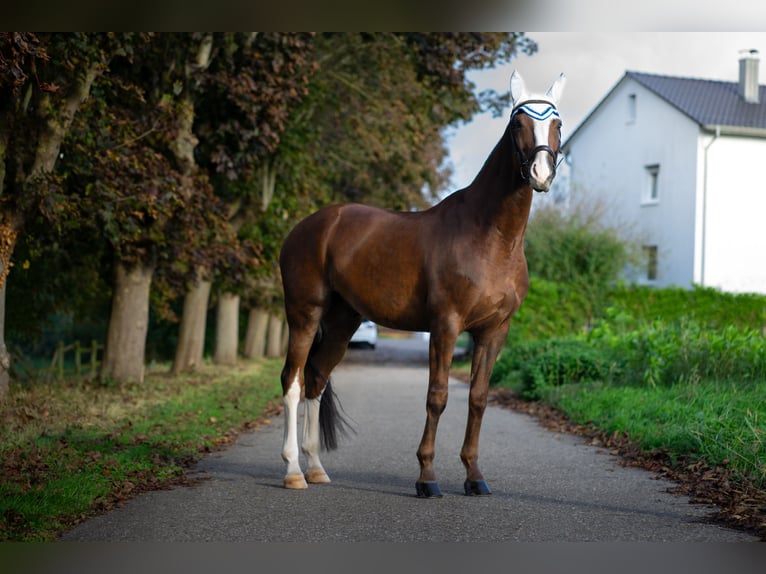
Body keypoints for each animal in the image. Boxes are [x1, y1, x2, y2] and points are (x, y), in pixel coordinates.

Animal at [280, 70, 568, 498]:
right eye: (518, 122)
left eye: (557, 123)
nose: (541, 174)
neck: (490, 237)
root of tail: (308, 226)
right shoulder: (445, 325)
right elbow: (438, 396)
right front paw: (427, 478)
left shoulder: (494, 330)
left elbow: (478, 399)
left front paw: (474, 476)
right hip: (304, 314)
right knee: (293, 381)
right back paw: (293, 472)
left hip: (343, 322)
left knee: (316, 379)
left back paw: (316, 468)